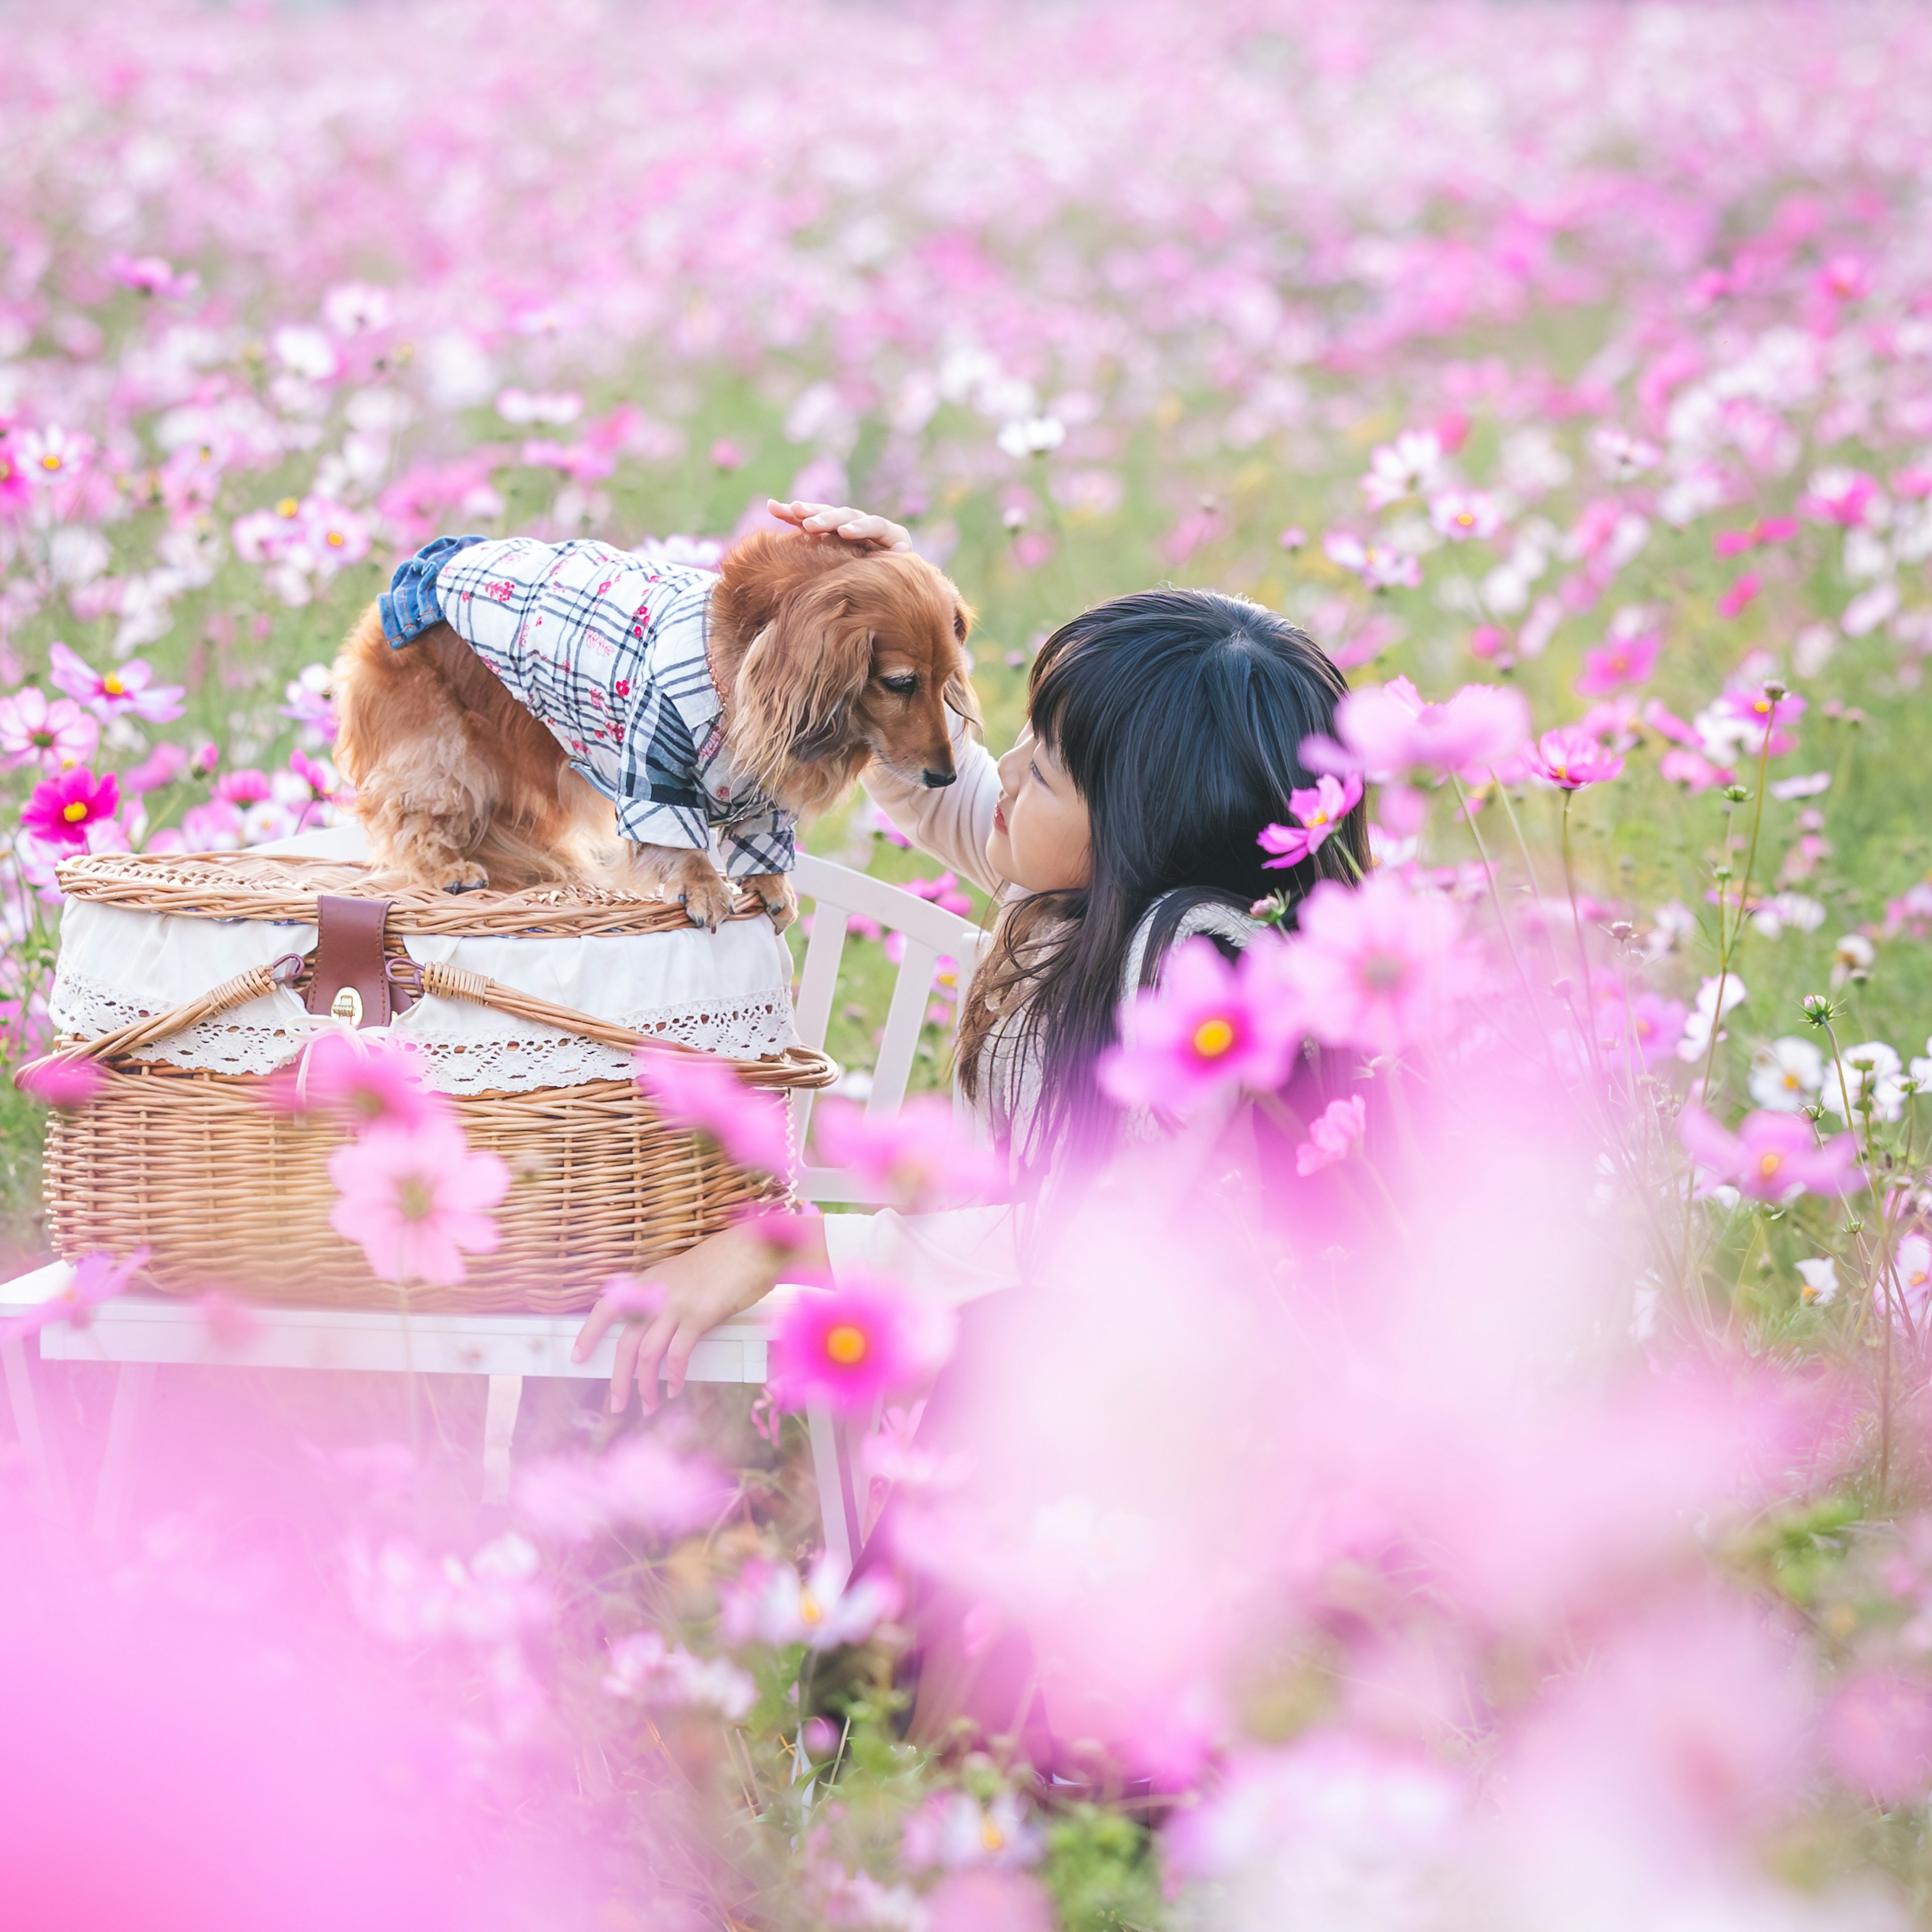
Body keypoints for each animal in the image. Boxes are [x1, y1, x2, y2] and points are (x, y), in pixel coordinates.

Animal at [328, 525, 981, 923]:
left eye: (947, 677)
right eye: (900, 683)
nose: (946, 778)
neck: (744, 658)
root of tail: (432, 563)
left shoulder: (766, 792)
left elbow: (763, 843)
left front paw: (771, 888)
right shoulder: (656, 756)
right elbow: (675, 836)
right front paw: (703, 887)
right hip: (444, 751)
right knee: (408, 813)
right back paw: (449, 869)